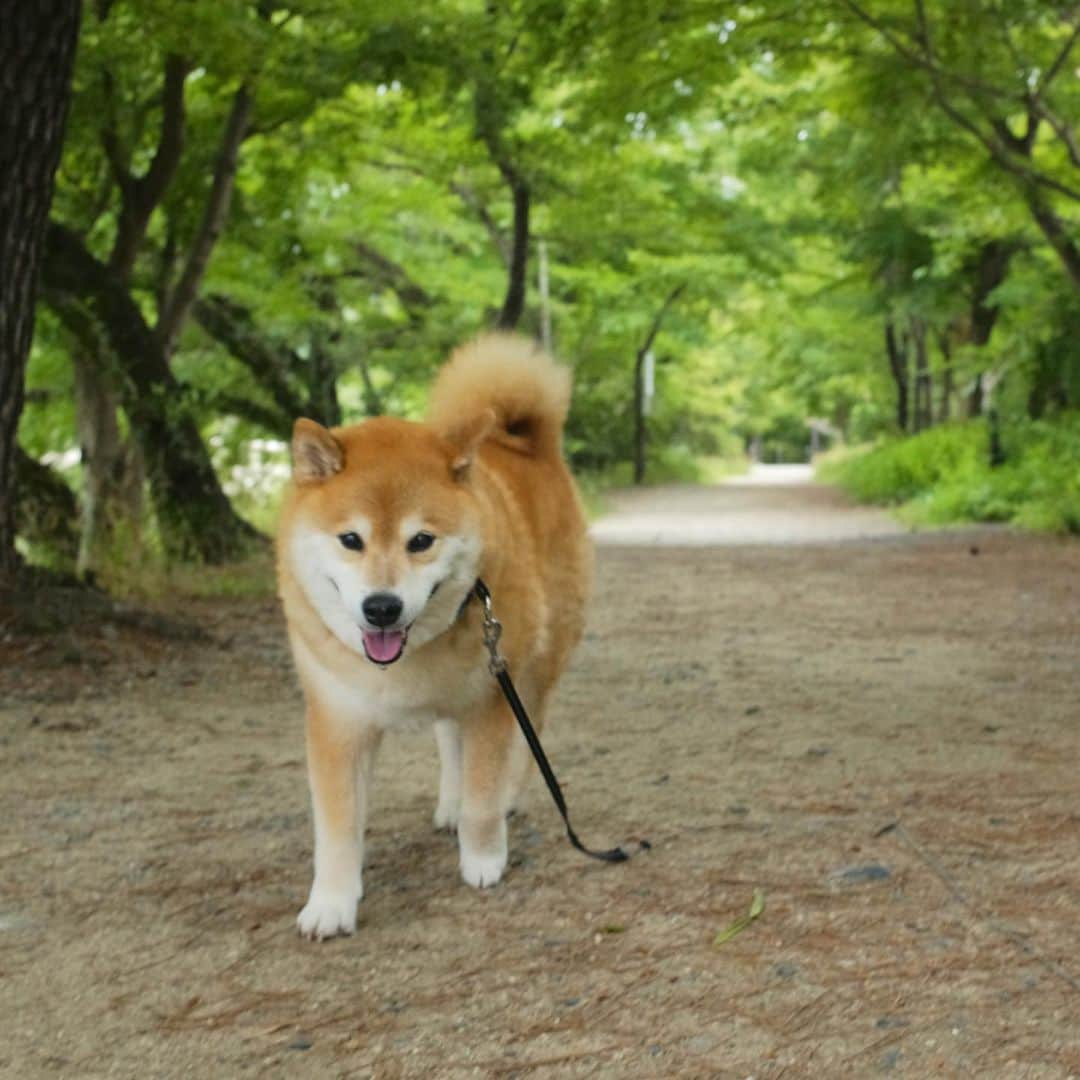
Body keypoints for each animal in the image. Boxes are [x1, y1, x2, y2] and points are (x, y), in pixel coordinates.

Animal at [274, 334, 587, 937]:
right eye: (351, 539)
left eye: (421, 540)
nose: (382, 607)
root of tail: (530, 444)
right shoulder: (338, 721)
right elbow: (337, 830)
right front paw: (331, 904)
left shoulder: (491, 700)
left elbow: (484, 794)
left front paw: (484, 859)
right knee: (448, 738)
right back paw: (449, 804)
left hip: (530, 667)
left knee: (525, 737)